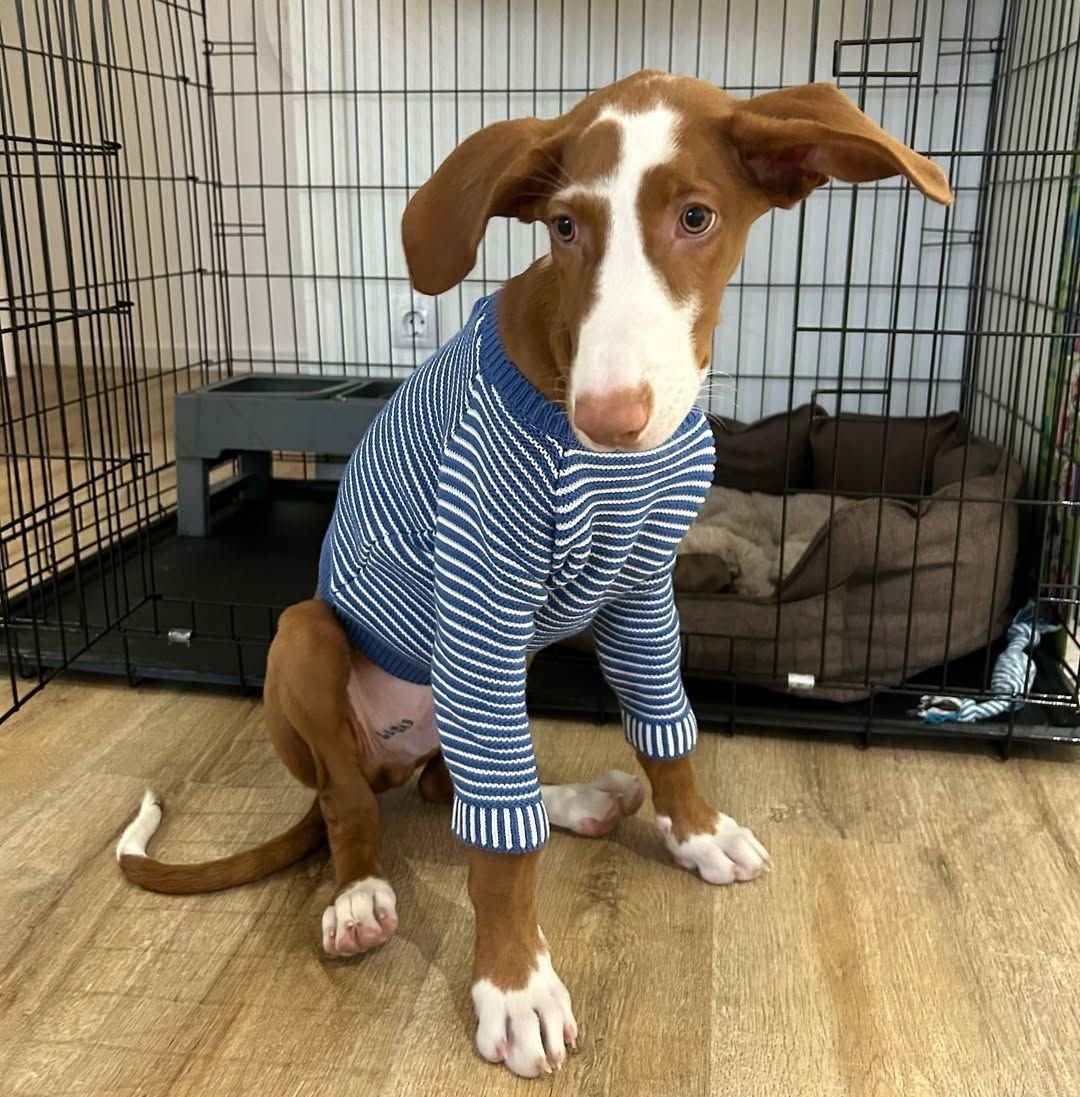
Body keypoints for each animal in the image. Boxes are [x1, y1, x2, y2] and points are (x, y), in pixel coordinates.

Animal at [116, 71, 951, 1078]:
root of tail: (390, 752)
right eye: (562, 227)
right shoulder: (481, 605)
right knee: (359, 804)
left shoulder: (643, 595)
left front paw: (696, 831)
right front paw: (515, 986)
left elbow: (667, 731)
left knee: (455, 787)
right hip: (309, 640)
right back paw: (359, 896)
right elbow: (498, 858)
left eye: (697, 217)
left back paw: (572, 801)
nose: (609, 417)